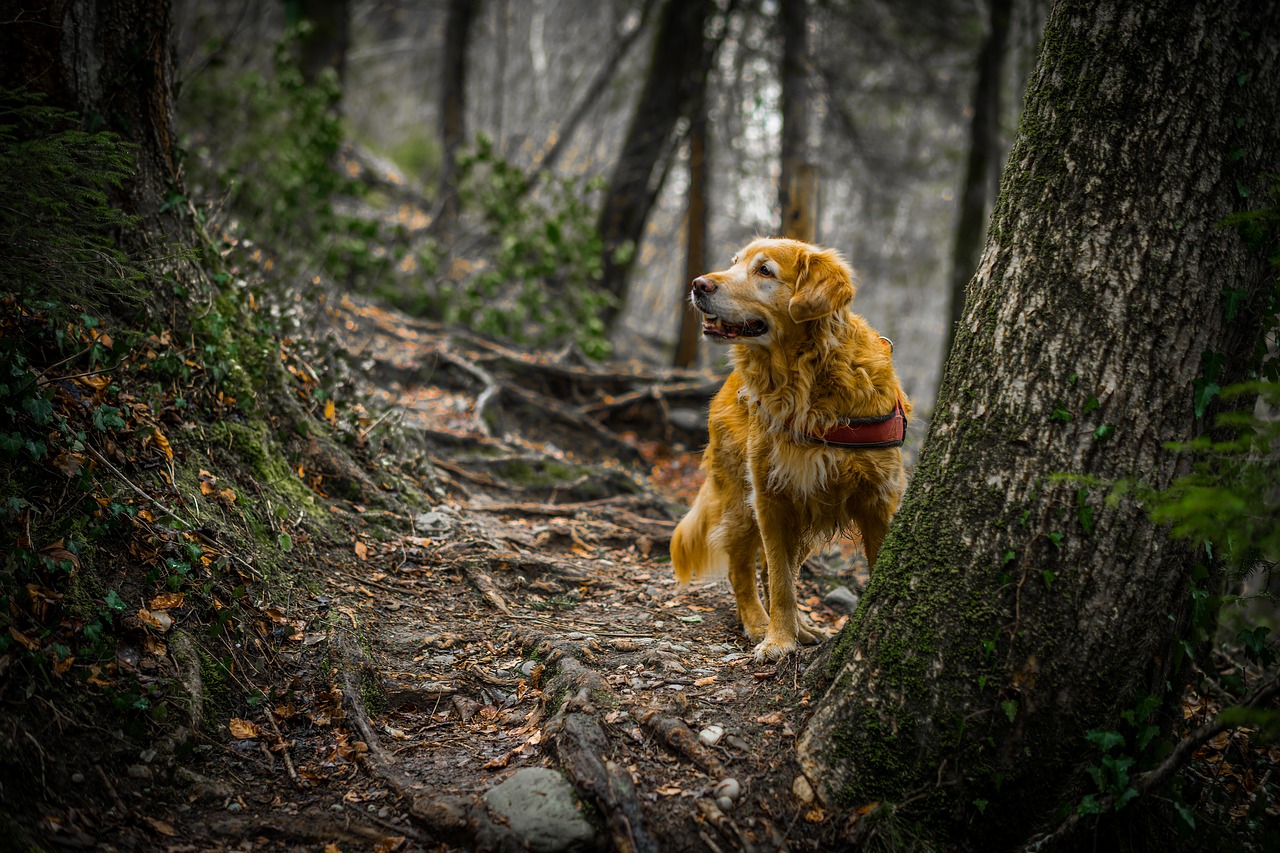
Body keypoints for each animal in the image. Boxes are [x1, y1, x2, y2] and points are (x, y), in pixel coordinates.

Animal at [670, 235, 911, 660]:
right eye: (734, 263)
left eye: (764, 271)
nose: (699, 285)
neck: (804, 379)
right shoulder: (771, 496)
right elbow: (781, 581)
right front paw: (778, 640)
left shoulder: (879, 497)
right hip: (741, 500)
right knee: (743, 569)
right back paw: (757, 623)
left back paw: (803, 627)